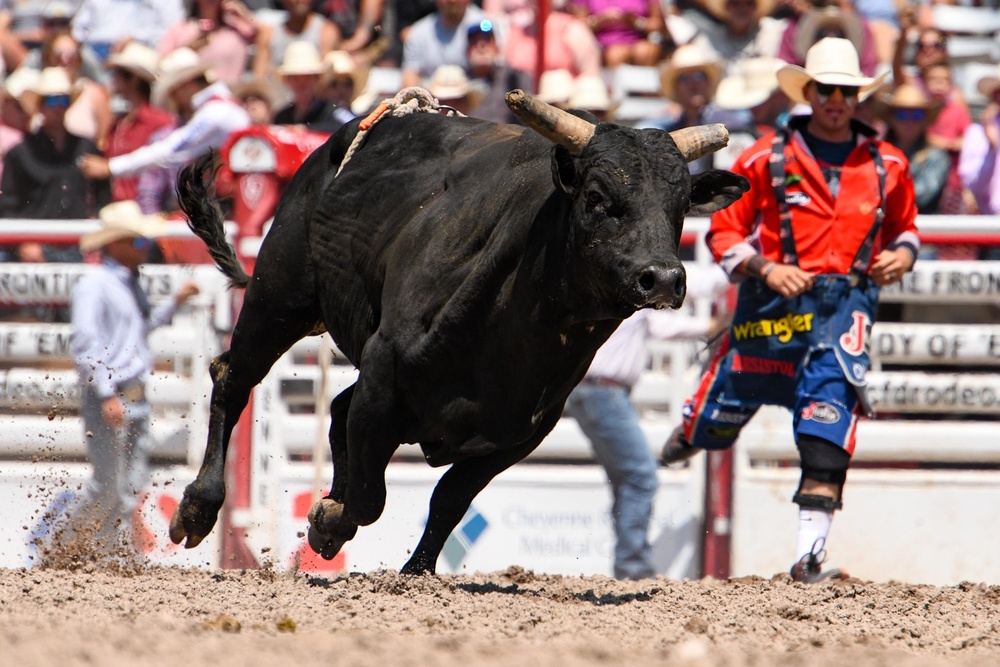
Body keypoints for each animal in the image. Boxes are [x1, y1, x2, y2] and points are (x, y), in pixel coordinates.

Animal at [174, 90, 752, 576]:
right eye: (596, 196)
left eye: (682, 205)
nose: (664, 278)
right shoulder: (382, 379)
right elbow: (369, 496)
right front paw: (328, 519)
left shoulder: (521, 432)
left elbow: (449, 499)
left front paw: (415, 571)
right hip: (278, 297)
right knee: (234, 378)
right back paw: (198, 508)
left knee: (334, 407)